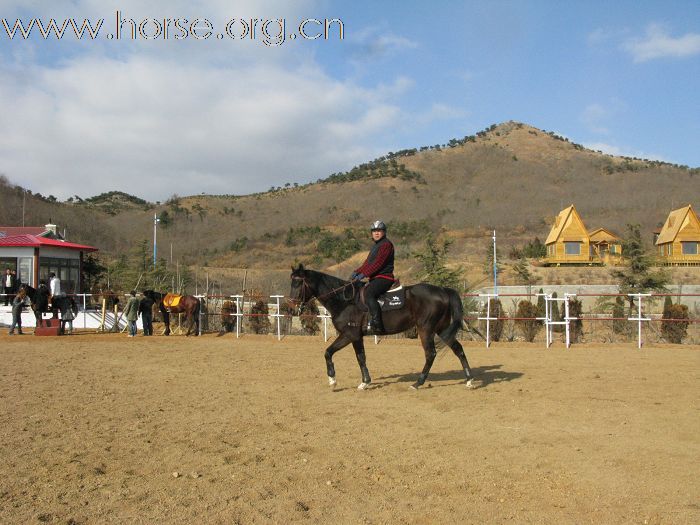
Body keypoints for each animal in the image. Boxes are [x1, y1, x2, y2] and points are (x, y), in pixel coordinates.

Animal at [290, 262, 476, 388]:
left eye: (298, 283)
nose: (291, 307)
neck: (344, 300)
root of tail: (443, 290)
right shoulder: (355, 336)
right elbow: (356, 356)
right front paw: (362, 382)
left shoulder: (350, 334)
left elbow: (334, 353)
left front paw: (335, 380)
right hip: (442, 329)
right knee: (458, 349)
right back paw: (469, 380)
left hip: (426, 329)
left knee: (430, 354)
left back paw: (418, 383)